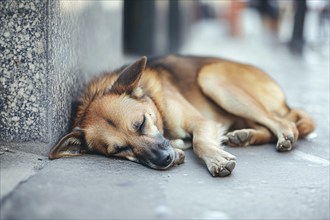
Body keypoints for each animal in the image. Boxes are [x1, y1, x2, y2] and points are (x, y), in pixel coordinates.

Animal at [48, 55, 314, 177]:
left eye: (141, 123)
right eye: (120, 150)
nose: (164, 159)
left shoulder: (201, 123)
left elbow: (199, 142)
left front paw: (215, 159)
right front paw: (178, 152)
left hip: (212, 79)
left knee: (285, 123)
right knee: (268, 126)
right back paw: (245, 136)